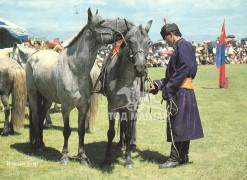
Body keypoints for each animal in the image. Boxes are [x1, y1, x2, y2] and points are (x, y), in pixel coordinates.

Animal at [25, 8, 131, 166]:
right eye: (102, 22)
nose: (127, 25)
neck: (74, 69)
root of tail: (34, 55)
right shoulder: (66, 106)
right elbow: (67, 131)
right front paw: (64, 157)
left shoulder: (83, 106)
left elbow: (81, 131)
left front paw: (83, 157)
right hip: (33, 95)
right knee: (36, 116)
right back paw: (37, 145)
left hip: (47, 98)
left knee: (41, 116)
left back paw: (42, 144)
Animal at [102, 20, 152, 167]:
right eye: (130, 41)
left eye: (149, 42)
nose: (140, 68)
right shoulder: (112, 107)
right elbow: (111, 132)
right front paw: (107, 158)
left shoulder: (131, 107)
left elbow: (129, 132)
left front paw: (128, 159)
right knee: (123, 124)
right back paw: (121, 143)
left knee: (132, 124)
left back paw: (131, 145)